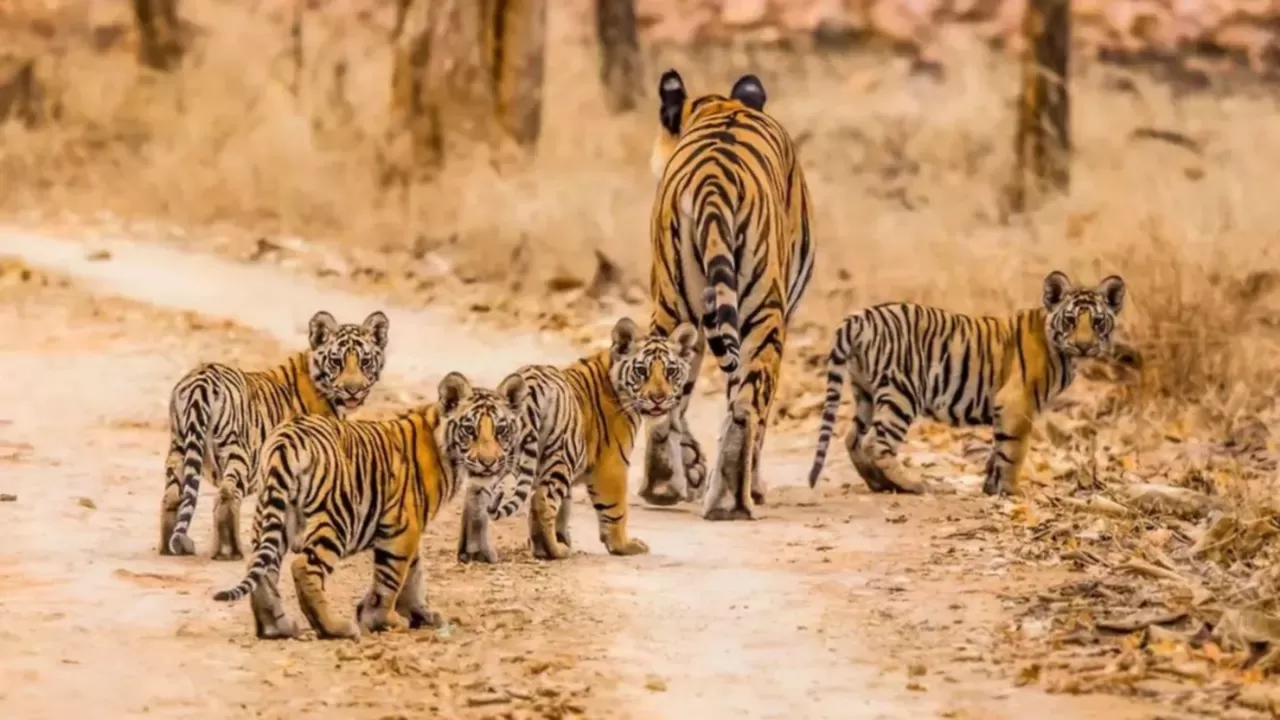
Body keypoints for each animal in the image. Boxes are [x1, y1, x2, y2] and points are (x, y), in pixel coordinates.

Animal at [160, 310, 390, 561]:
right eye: (336, 361)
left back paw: (172, 548)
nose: (353, 390)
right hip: (236, 450)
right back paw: (230, 551)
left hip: (179, 448)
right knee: (227, 493)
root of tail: (201, 381)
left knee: (172, 496)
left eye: (365, 361)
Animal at [212, 371, 527, 640]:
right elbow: (391, 579)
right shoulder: (403, 527)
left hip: (273, 516)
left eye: (501, 430)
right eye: (469, 430)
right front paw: (381, 620)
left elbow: (413, 574)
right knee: (303, 567)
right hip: (335, 519)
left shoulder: (409, 527)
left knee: (262, 569)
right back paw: (335, 628)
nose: (488, 463)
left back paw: (276, 628)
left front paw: (421, 615)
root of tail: (286, 439)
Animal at [455, 317, 698, 564]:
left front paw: (558, 537)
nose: (658, 398)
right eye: (641, 371)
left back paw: (475, 553)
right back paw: (554, 551)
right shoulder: (613, 465)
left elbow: (565, 506)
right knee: (541, 500)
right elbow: (616, 509)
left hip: (491, 456)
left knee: (475, 496)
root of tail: (531, 385)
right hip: (559, 454)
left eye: (671, 371)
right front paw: (623, 545)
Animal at [641, 68, 816, 522]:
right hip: (763, 314)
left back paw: (666, 486)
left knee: (667, 395)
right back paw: (728, 500)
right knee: (746, 408)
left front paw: (692, 466)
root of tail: (713, 181)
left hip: (673, 305)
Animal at [807, 271, 1127, 497]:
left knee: (853, 437)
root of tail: (860, 316)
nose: (1084, 346)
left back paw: (878, 483)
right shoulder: (1017, 404)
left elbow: (999, 450)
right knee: (876, 442)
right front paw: (1011, 491)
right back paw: (913, 485)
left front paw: (991, 487)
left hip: (866, 392)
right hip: (902, 393)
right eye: (1071, 320)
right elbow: (1014, 452)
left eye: (1098, 322)